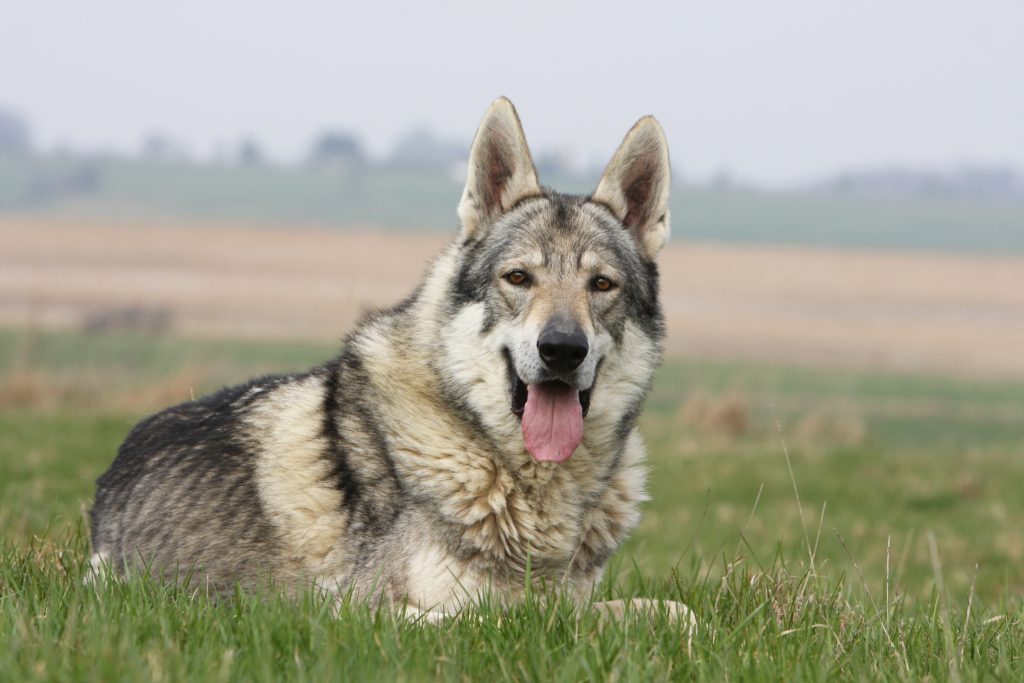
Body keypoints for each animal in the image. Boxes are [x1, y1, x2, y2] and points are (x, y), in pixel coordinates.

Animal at [92, 98, 692, 626]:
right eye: (519, 278)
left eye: (602, 285)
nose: (563, 348)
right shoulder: (365, 611)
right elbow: (507, 621)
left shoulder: (581, 598)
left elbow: (677, 613)